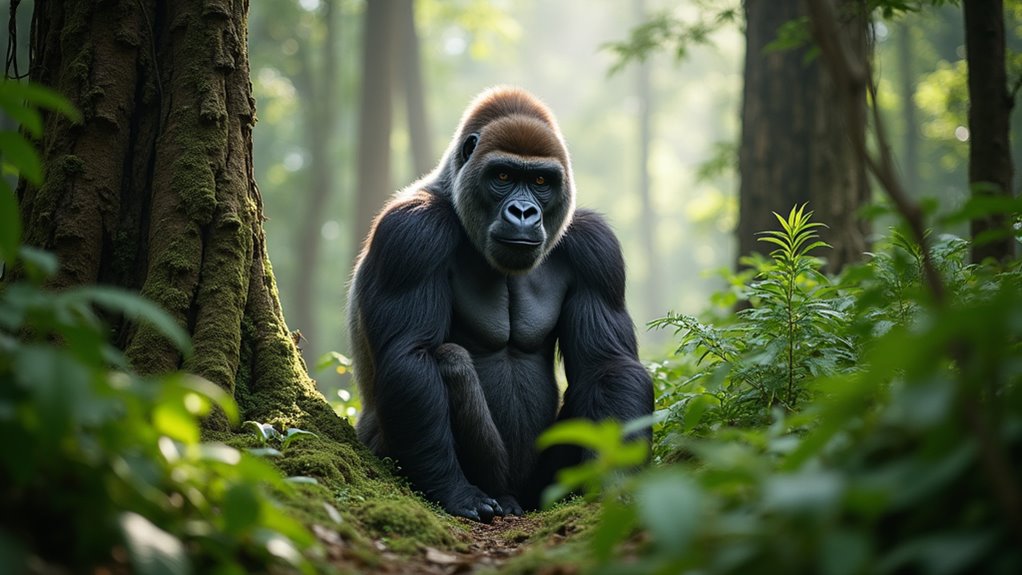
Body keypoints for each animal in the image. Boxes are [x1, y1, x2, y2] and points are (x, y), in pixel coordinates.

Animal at [348, 87, 653, 522]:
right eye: (503, 176)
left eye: (541, 180)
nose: (523, 212)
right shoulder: (411, 233)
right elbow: (411, 356)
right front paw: (453, 489)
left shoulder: (596, 247)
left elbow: (609, 365)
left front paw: (615, 478)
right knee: (450, 361)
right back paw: (499, 495)